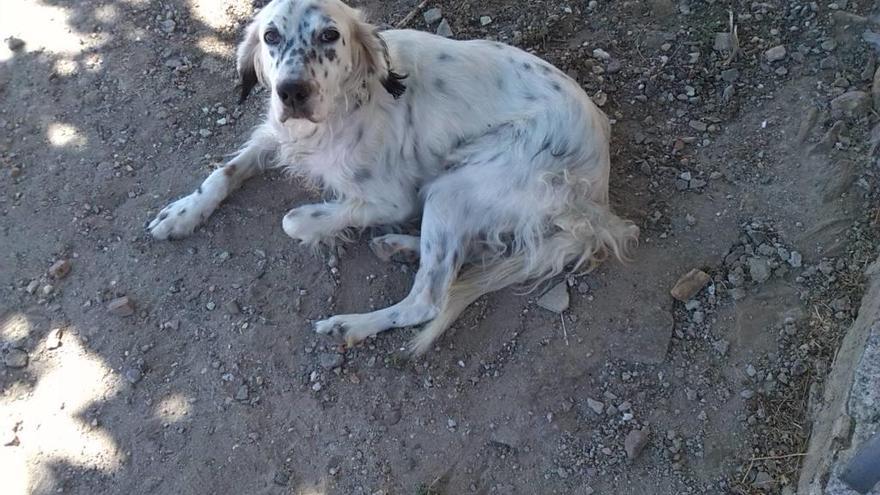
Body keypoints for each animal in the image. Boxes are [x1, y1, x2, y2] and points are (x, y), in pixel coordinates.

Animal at [146, 0, 640, 356]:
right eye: (270, 36)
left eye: (330, 35)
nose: (292, 91)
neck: (346, 104)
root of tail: (597, 196)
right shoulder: (276, 134)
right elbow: (224, 172)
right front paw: (182, 213)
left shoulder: (395, 198)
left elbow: (295, 219)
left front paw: (320, 225)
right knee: (479, 250)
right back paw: (400, 247)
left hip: (451, 187)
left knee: (429, 298)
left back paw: (352, 322)